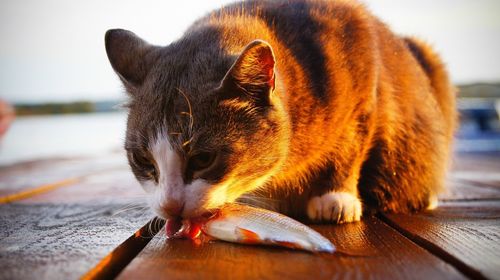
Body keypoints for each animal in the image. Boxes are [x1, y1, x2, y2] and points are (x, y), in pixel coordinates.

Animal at [103, 0, 456, 223]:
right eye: (143, 160)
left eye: (203, 159)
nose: (170, 206)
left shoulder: (361, 66)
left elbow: (351, 142)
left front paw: (335, 197)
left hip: (428, 59)